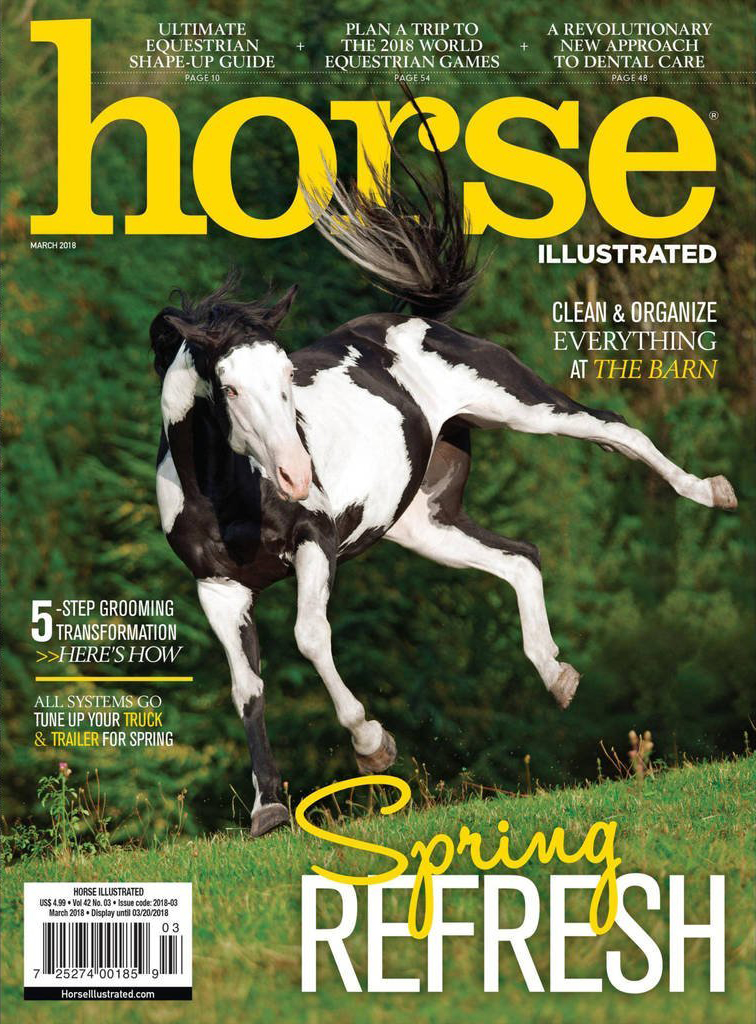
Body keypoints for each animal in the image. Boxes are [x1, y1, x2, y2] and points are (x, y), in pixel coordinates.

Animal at [149, 147, 737, 837]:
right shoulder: (219, 590)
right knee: (521, 558)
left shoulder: (316, 541)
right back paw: (557, 675)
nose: (298, 476)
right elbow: (247, 689)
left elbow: (310, 636)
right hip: (426, 524)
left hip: (522, 406)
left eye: (288, 376)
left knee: (617, 431)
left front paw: (373, 744)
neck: (228, 496)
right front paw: (269, 808)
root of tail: (412, 321)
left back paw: (714, 492)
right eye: (231, 387)